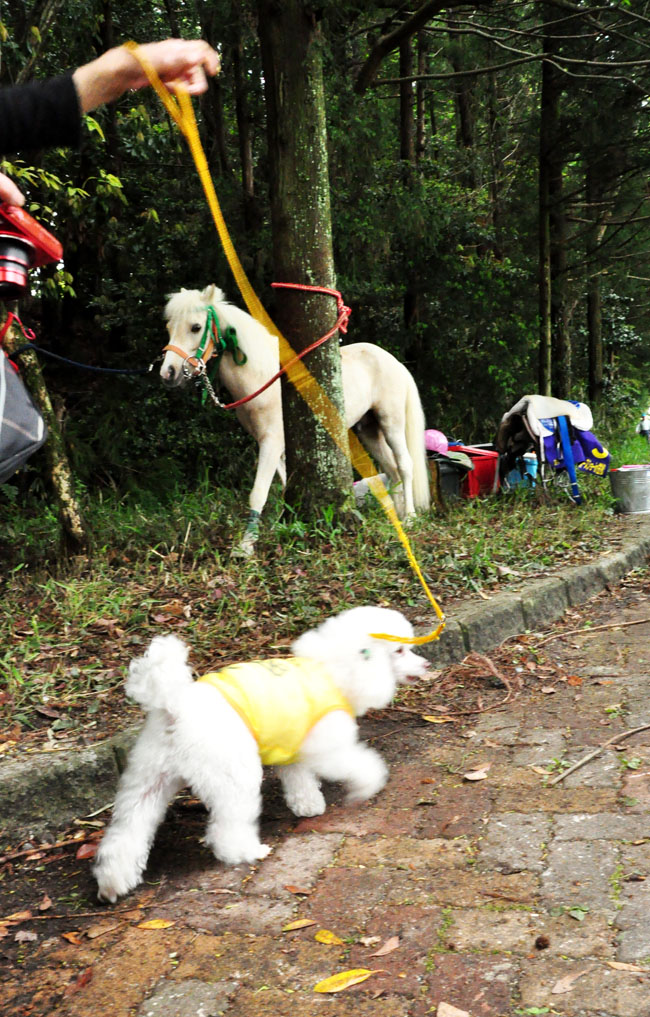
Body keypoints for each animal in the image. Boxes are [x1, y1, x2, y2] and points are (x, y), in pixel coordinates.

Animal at [160, 284, 430, 551]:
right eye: (169, 327)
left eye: (196, 327)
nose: (168, 373)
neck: (263, 377)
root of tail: (394, 361)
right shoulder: (278, 448)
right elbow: (283, 488)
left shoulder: (271, 443)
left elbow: (258, 492)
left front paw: (246, 546)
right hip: (369, 430)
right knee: (392, 471)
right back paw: (397, 517)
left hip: (391, 423)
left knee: (404, 465)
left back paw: (410, 518)